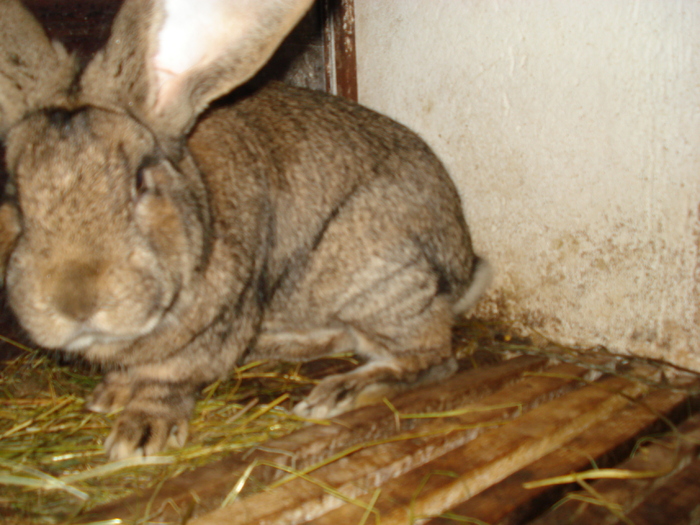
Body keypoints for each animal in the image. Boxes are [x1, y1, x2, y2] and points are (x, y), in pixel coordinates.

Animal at [0, 0, 490, 458]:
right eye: (12, 196)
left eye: (140, 182)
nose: (75, 302)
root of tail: (465, 262)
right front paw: (110, 395)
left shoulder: (211, 328)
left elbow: (166, 381)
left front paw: (140, 433)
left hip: (375, 276)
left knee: (431, 357)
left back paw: (337, 394)